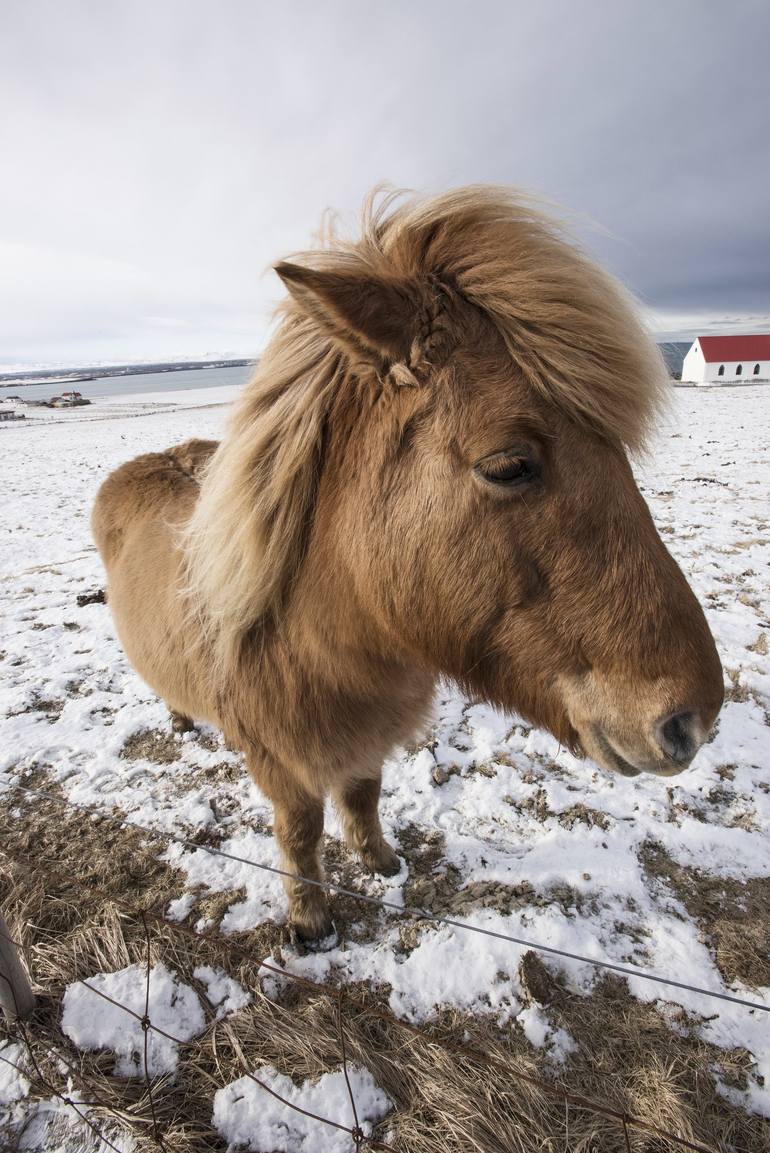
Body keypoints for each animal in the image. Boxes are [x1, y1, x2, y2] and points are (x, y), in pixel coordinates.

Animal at [93, 186, 723, 945]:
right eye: (508, 465)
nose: (692, 719)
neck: (323, 643)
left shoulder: (367, 741)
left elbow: (364, 797)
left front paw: (381, 863)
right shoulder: (281, 764)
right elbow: (299, 832)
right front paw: (310, 919)